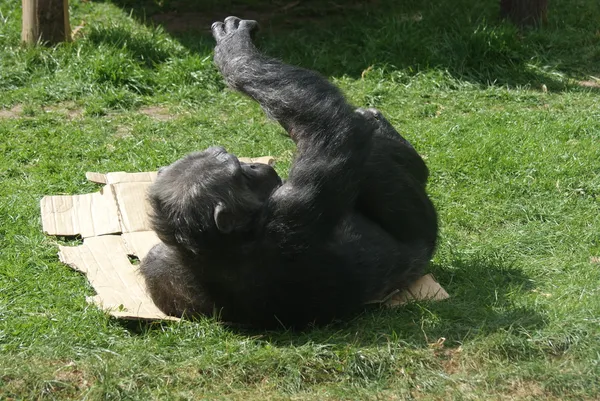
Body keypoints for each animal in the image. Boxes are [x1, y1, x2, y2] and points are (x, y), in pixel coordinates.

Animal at [141, 16, 440, 328]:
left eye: (239, 165)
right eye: (242, 175)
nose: (254, 165)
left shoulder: (157, 262)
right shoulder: (293, 212)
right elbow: (326, 126)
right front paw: (235, 52)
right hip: (421, 226)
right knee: (362, 142)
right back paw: (376, 122)